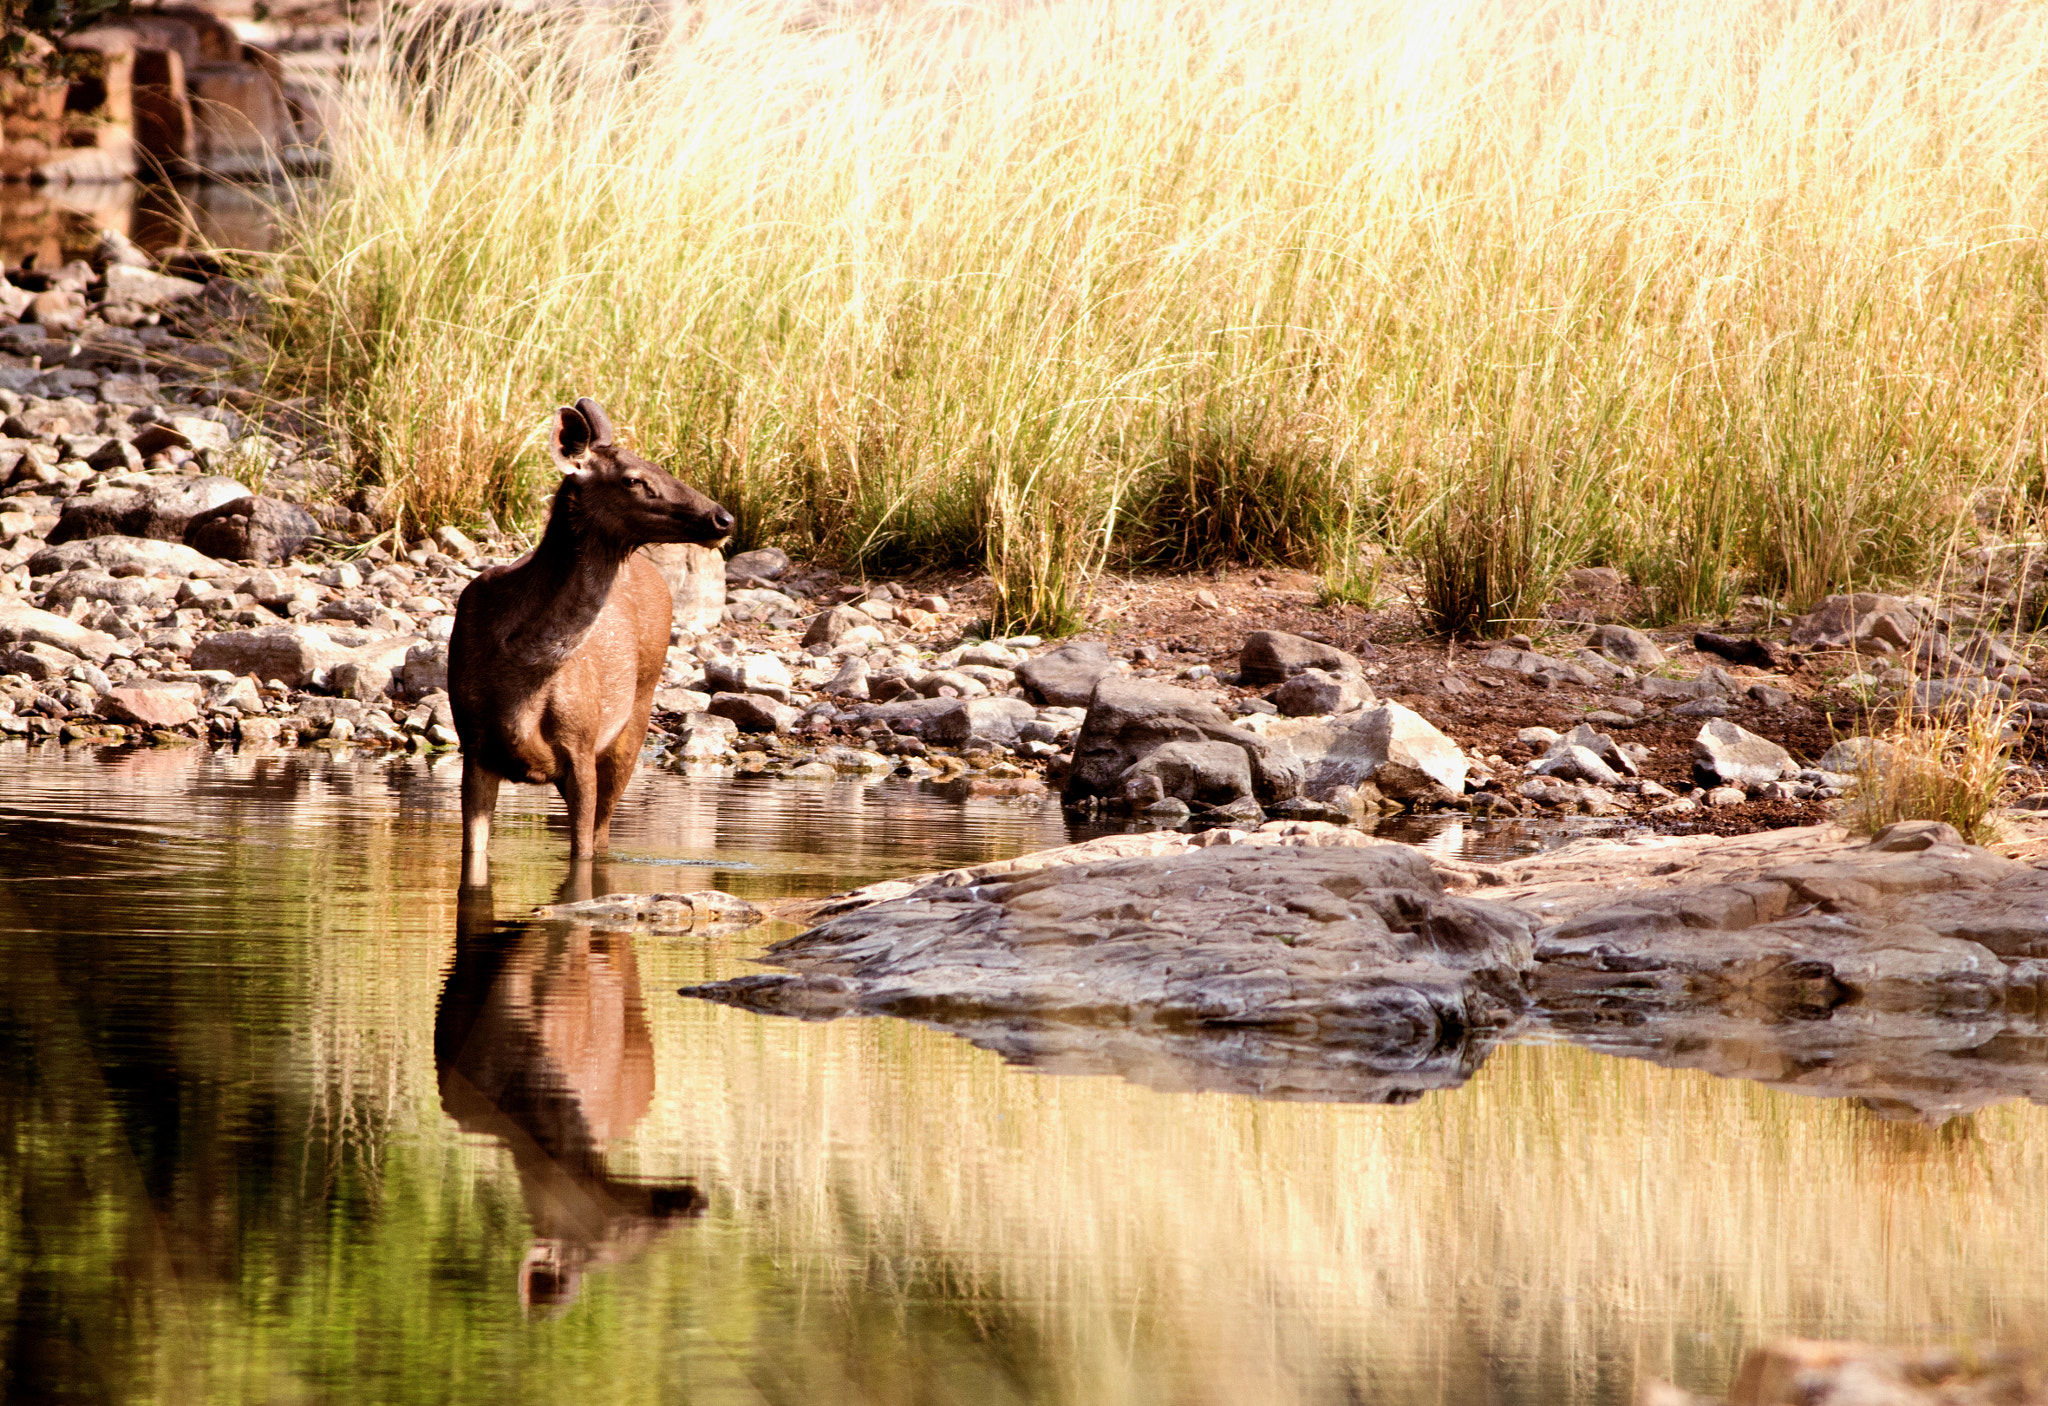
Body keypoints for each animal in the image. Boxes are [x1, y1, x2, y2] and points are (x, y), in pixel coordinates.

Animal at [454, 399, 737, 880]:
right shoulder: (473, 747)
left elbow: (583, 851)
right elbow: (473, 854)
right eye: (633, 479)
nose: (723, 517)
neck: (521, 673)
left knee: (605, 831)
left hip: (636, 717)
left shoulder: (582, 747)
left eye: (662, 466)